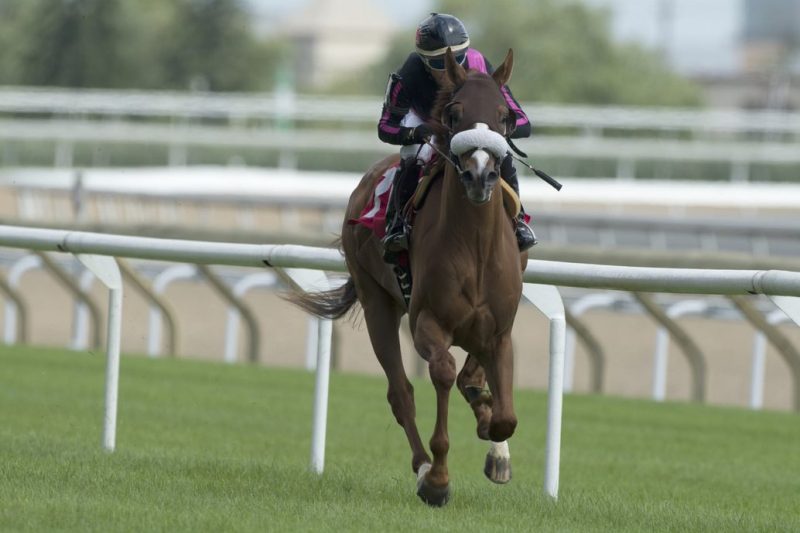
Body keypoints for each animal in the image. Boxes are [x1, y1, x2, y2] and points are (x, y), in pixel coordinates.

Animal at [290, 47, 528, 504]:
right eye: (454, 113)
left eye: (505, 115)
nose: (480, 175)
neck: (474, 245)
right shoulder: (427, 322)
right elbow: (443, 373)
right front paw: (437, 478)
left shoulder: (501, 327)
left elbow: (503, 412)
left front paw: (496, 444)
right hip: (377, 305)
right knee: (401, 394)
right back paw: (421, 469)